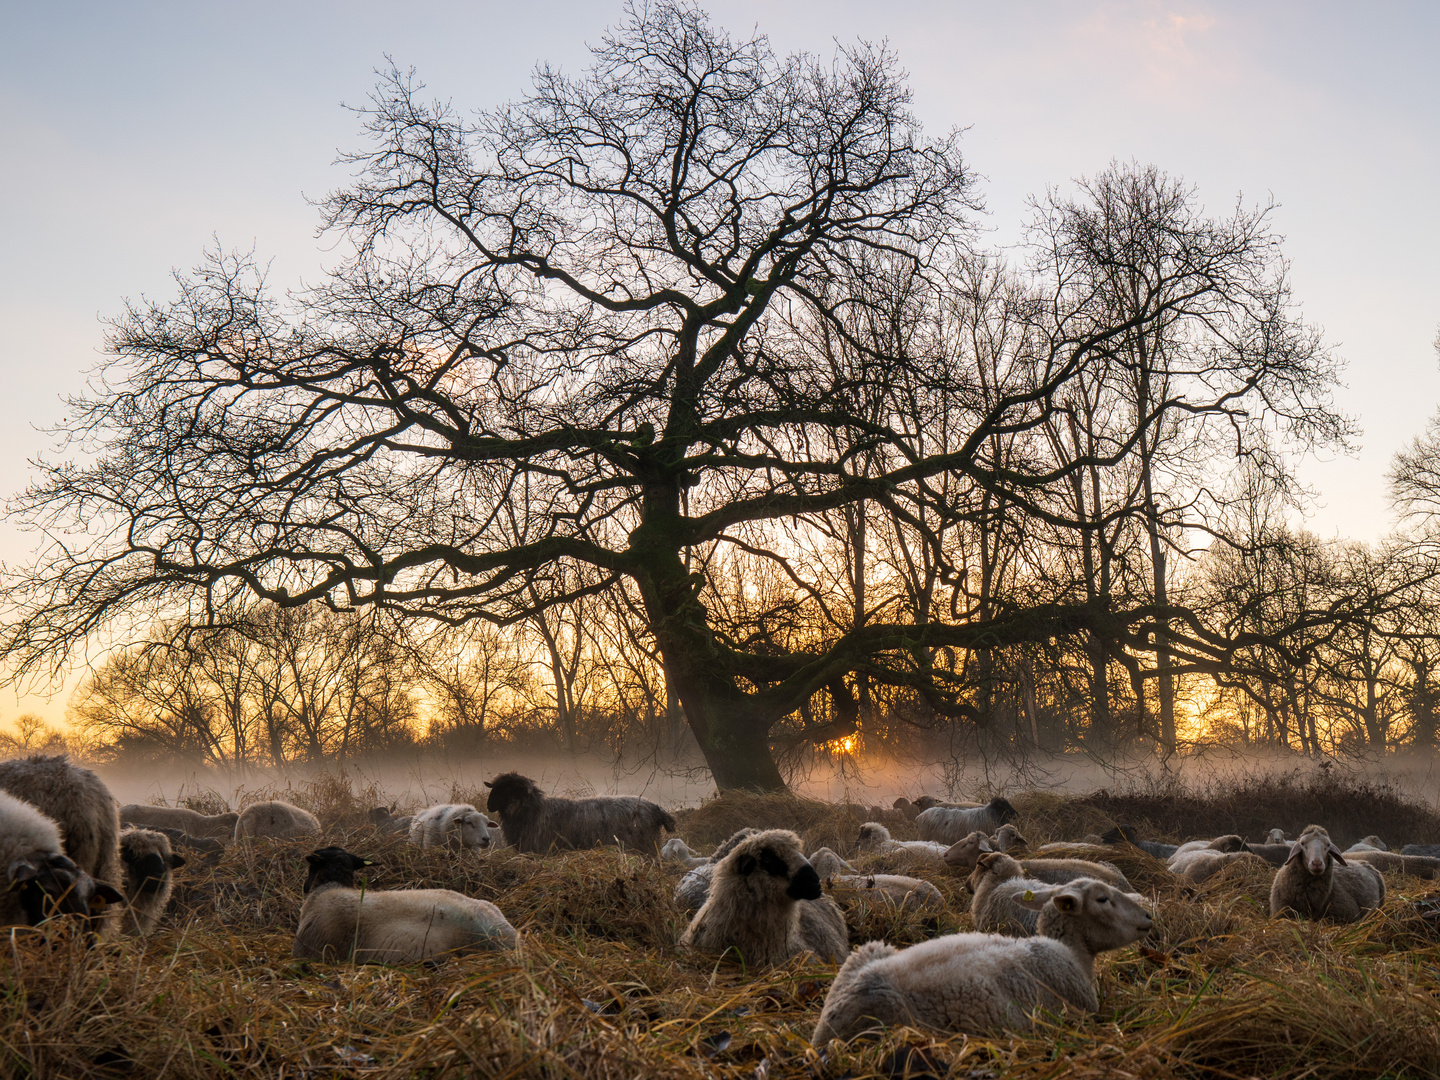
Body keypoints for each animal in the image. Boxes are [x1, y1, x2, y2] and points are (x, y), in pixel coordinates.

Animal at [483, 771, 673, 858]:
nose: (489, 804)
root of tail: (656, 808)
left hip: (646, 848)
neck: (534, 811)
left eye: (510, 789)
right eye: (496, 787)